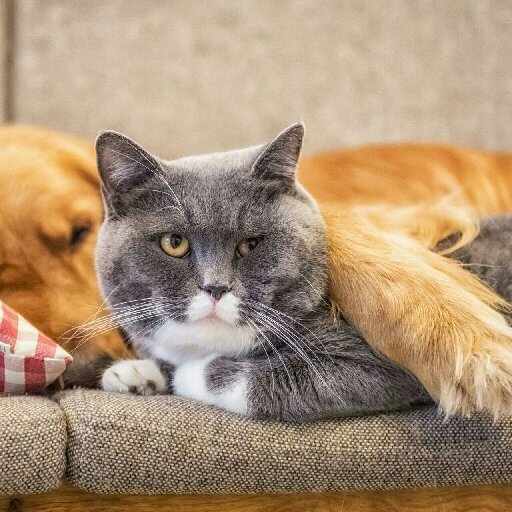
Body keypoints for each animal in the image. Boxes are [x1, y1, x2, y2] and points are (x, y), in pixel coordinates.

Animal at [94, 123, 510, 422]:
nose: (215, 287)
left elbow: (247, 378)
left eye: (251, 243)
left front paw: (184, 373)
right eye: (174, 243)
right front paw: (135, 373)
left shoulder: (367, 366)